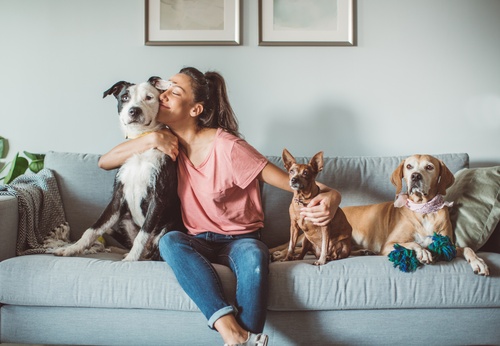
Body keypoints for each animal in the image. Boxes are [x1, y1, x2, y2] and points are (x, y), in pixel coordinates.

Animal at [53, 75, 186, 260]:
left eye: (149, 97)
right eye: (125, 97)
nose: (134, 111)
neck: (140, 143)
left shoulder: (158, 197)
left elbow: (143, 234)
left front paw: (131, 259)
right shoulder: (117, 197)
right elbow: (92, 229)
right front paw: (72, 248)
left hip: (167, 226)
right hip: (123, 220)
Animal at [272, 154, 490, 276]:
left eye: (429, 167)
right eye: (409, 166)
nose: (415, 176)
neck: (423, 210)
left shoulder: (449, 245)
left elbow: (468, 248)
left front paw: (478, 262)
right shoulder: (389, 245)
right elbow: (412, 243)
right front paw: (422, 251)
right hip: (304, 237)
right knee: (292, 247)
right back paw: (279, 255)